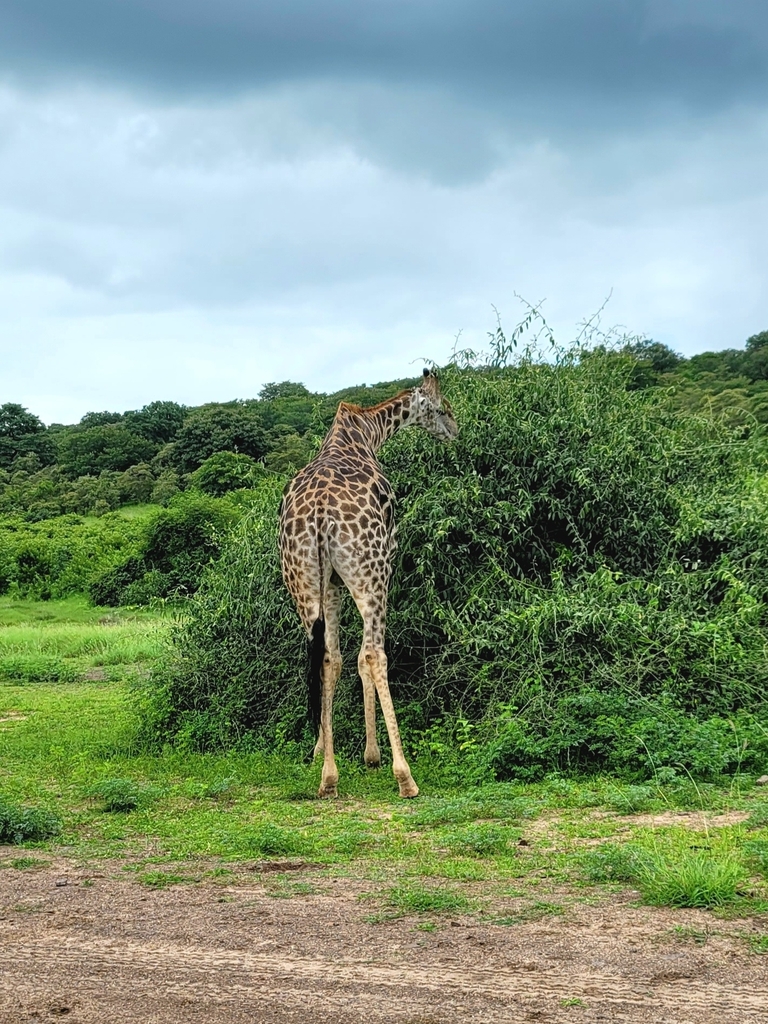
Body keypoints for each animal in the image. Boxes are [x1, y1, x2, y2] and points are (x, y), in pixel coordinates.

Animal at [279, 369, 458, 798]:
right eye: (441, 408)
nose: (455, 432)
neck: (367, 432)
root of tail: (319, 513)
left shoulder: (332, 586)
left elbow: (337, 660)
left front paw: (322, 749)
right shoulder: (385, 561)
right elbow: (365, 659)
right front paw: (373, 755)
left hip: (304, 585)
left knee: (324, 656)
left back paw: (328, 777)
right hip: (372, 573)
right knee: (376, 654)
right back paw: (405, 776)